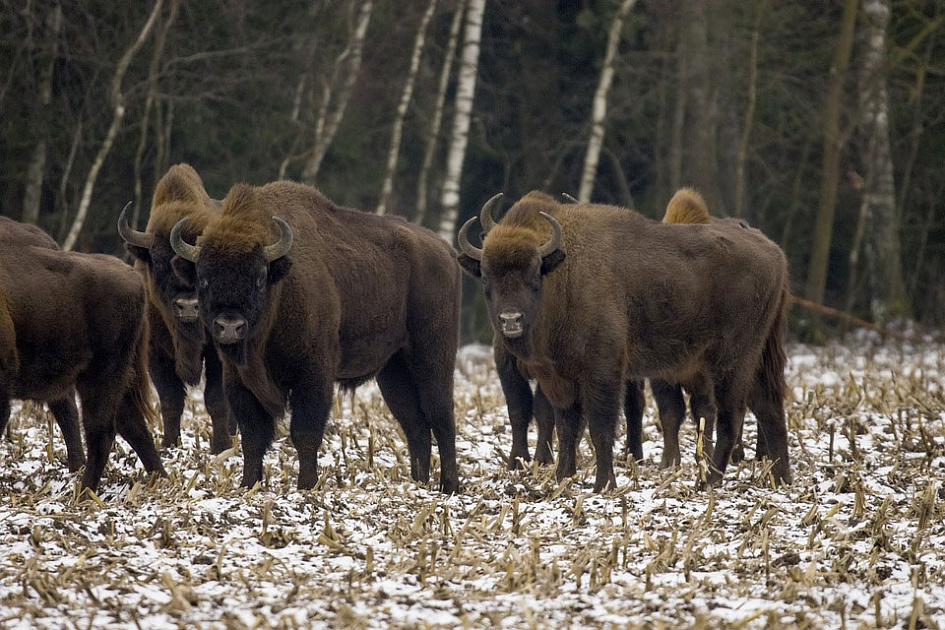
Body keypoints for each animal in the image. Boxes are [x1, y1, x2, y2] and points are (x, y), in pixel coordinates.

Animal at [0, 220, 165, 492]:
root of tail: (133, 277)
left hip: (101, 375)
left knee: (101, 429)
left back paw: (84, 492)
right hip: (118, 376)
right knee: (132, 425)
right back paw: (161, 479)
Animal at [117, 164, 233, 454]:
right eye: (158, 261)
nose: (188, 306)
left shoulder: (217, 352)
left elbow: (216, 399)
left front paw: (222, 447)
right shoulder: (155, 353)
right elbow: (170, 400)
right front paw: (169, 445)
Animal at [173, 180, 464, 496]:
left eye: (260, 277)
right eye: (203, 277)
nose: (229, 325)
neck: (280, 289)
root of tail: (446, 251)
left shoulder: (314, 373)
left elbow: (305, 432)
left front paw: (307, 486)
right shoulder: (238, 380)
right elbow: (252, 436)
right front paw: (248, 484)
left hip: (432, 355)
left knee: (442, 416)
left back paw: (449, 486)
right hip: (393, 369)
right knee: (415, 425)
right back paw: (418, 483)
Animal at [458, 190, 788, 492]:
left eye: (533, 275)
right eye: (486, 276)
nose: (510, 320)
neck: (564, 275)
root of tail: (774, 254)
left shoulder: (602, 370)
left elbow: (600, 427)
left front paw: (604, 484)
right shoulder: (560, 378)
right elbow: (566, 426)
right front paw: (563, 478)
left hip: (731, 360)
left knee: (732, 414)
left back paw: (708, 481)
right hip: (759, 356)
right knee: (769, 406)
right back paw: (780, 477)